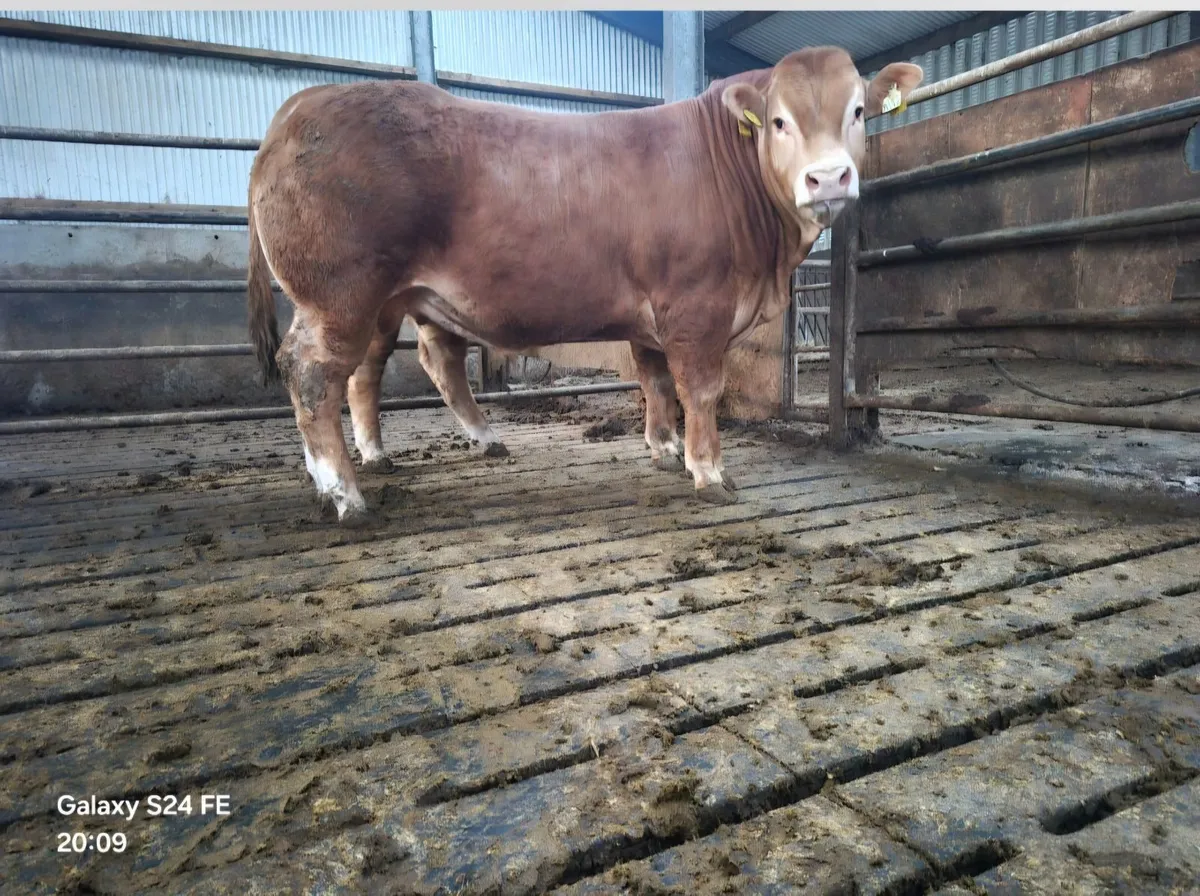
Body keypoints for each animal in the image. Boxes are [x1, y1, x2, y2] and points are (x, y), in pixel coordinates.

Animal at [246, 46, 923, 526]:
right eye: (778, 121)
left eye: (857, 111)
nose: (827, 178)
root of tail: (302, 104)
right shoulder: (697, 306)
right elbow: (700, 391)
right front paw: (709, 470)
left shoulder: (653, 318)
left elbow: (655, 383)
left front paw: (663, 449)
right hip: (340, 296)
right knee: (313, 373)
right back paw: (345, 493)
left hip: (394, 302)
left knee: (392, 368)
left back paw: (412, 452)